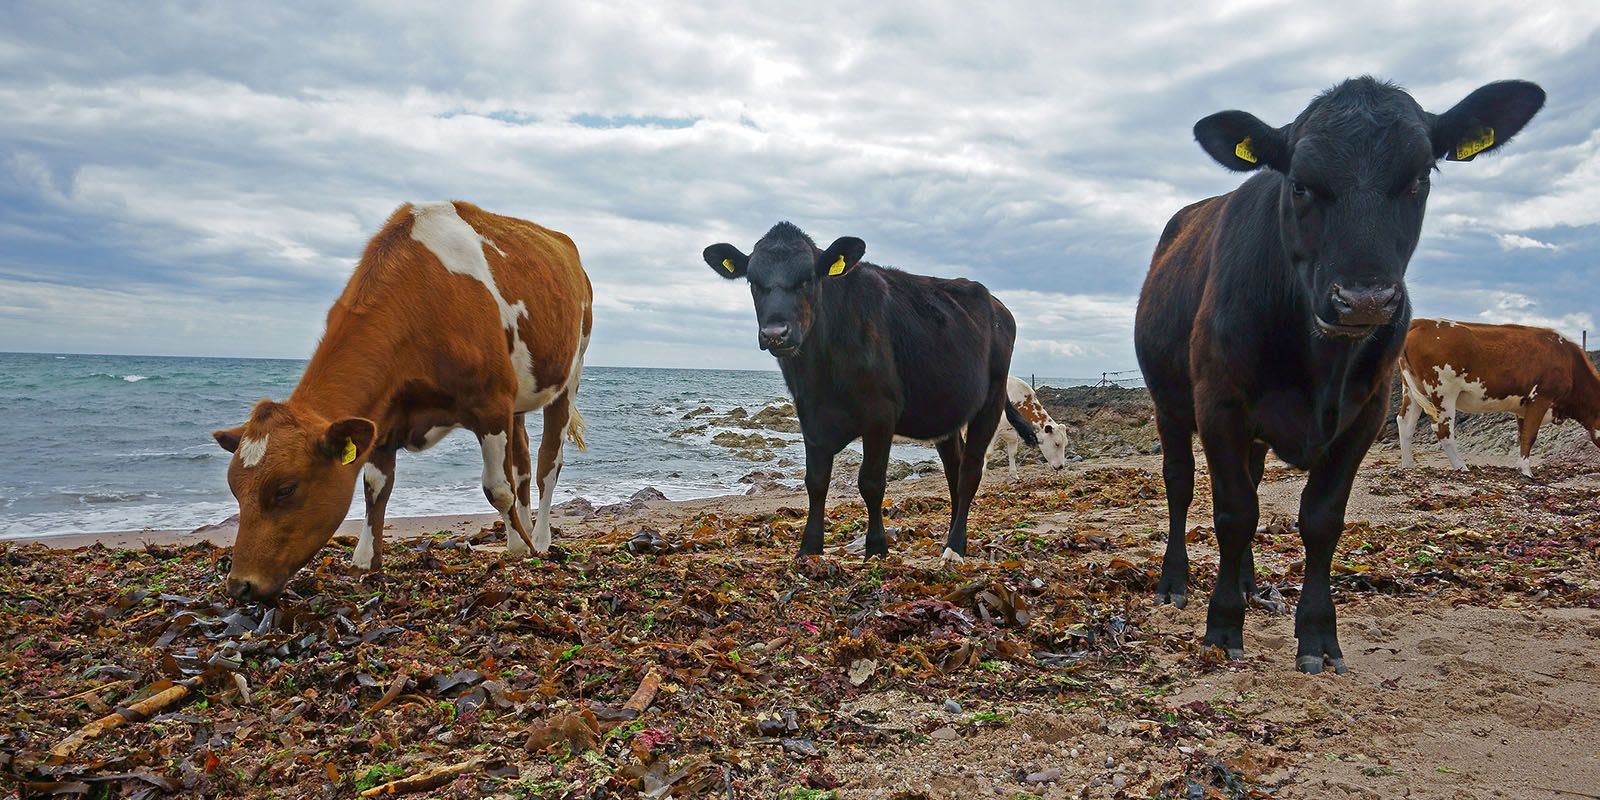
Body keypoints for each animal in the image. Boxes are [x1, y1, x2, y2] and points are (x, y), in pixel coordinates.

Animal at [209, 200, 592, 601]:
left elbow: (496, 489)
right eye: (234, 488)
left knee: (548, 464)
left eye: (285, 489)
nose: (239, 584)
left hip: (570, 374)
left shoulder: (491, 402)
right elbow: (374, 488)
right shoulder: (383, 416)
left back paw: (541, 538)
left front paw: (520, 549)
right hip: (518, 399)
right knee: (522, 462)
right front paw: (365, 561)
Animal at [704, 224, 1036, 563]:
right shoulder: (809, 413)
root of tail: (998, 306)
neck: (821, 370)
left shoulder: (880, 412)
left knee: (970, 471)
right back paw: (957, 539)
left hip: (991, 398)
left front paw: (876, 547)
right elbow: (816, 481)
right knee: (953, 470)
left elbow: (871, 482)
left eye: (808, 278)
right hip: (948, 412)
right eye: (752, 281)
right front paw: (809, 548)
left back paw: (954, 547)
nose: (775, 334)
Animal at [1132, 76, 1542, 675]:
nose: (1364, 300)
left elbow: (1321, 519)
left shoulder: (1364, 414)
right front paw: (1223, 626)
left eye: (1419, 179)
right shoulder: (1219, 401)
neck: (1317, 362)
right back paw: (1175, 581)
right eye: (1300, 184)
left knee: (1252, 483)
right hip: (1170, 403)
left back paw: (1251, 583)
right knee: (1180, 484)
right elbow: (1234, 512)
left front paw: (1318, 635)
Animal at [1395, 320, 1593, 480]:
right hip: (1444, 390)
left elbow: (1522, 435)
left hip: (1411, 390)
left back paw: (1408, 466)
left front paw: (1521, 468)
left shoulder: (1523, 408)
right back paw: (1462, 467)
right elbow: (1530, 435)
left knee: (1405, 422)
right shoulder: (1541, 398)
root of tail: (1422, 322)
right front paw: (1526, 472)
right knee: (1442, 428)